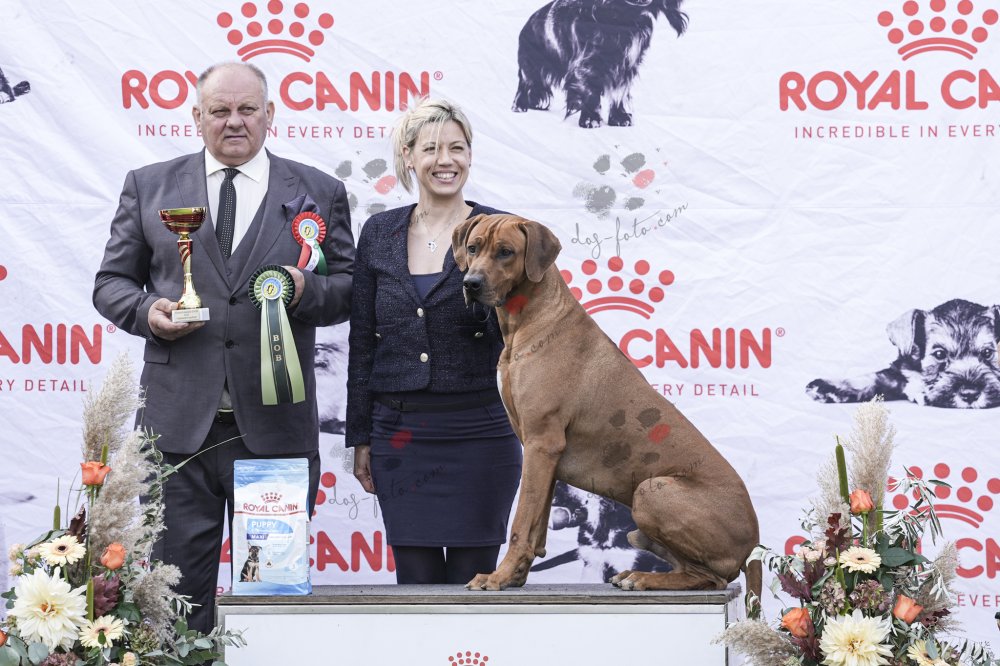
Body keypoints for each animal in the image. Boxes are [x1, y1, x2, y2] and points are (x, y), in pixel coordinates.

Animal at [454, 214, 760, 598]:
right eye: (473, 247)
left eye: (506, 252)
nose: (471, 283)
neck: (528, 320)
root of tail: (752, 542)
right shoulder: (545, 452)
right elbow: (537, 521)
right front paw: (516, 575)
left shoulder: (541, 442)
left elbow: (521, 522)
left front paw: (499, 575)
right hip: (640, 529)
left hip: (652, 489)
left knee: (711, 578)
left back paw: (643, 578)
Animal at [512, 0, 687, 128]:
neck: (625, 17)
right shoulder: (587, 66)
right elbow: (590, 93)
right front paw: (590, 120)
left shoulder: (625, 66)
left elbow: (619, 92)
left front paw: (619, 118)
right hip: (531, 65)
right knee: (524, 84)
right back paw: (519, 106)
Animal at [806, 299, 1000, 409]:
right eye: (939, 354)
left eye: (987, 352)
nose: (970, 394)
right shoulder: (898, 373)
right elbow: (868, 378)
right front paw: (825, 388)